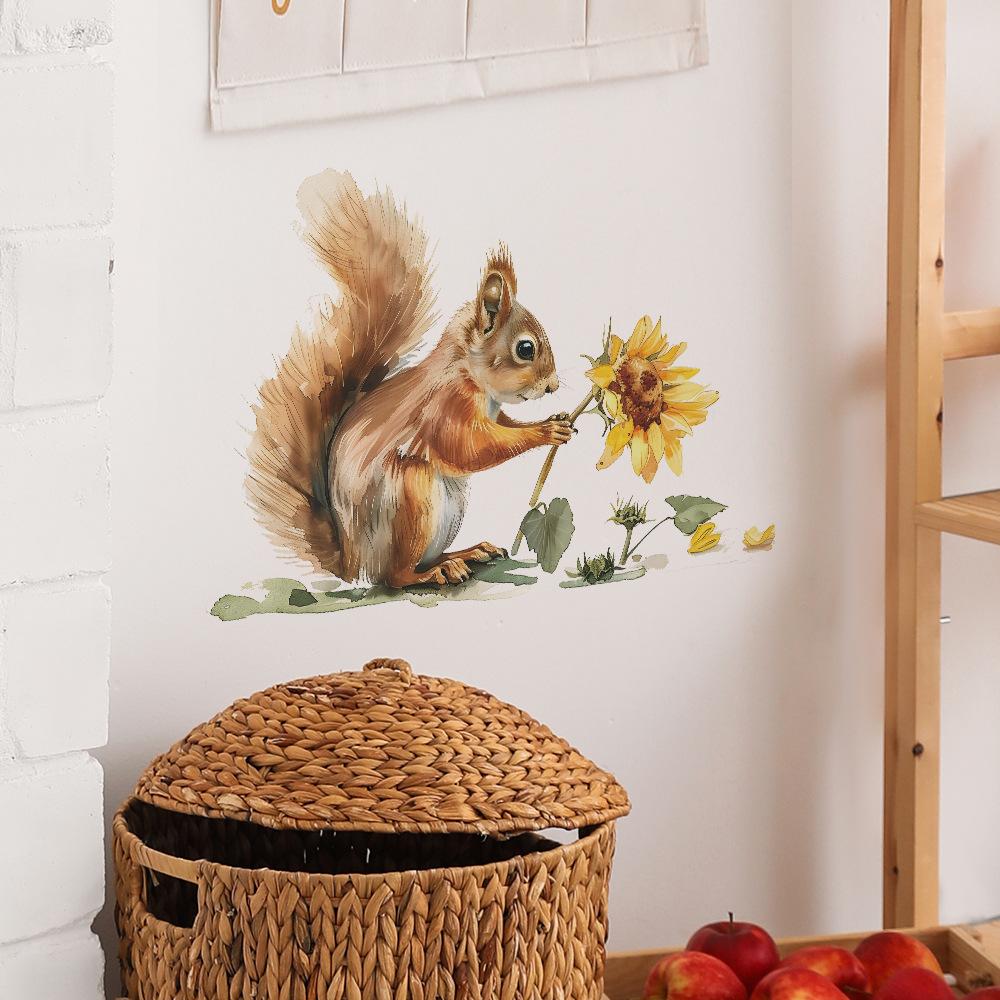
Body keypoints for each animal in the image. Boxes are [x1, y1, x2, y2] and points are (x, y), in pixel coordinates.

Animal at [246, 170, 573, 589]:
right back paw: (435, 571)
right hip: (410, 497)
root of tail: (353, 563)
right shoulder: (444, 405)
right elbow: (470, 448)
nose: (553, 385)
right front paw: (545, 431)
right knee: (395, 576)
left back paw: (464, 553)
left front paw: (558, 420)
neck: (469, 373)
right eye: (526, 349)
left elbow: (502, 426)